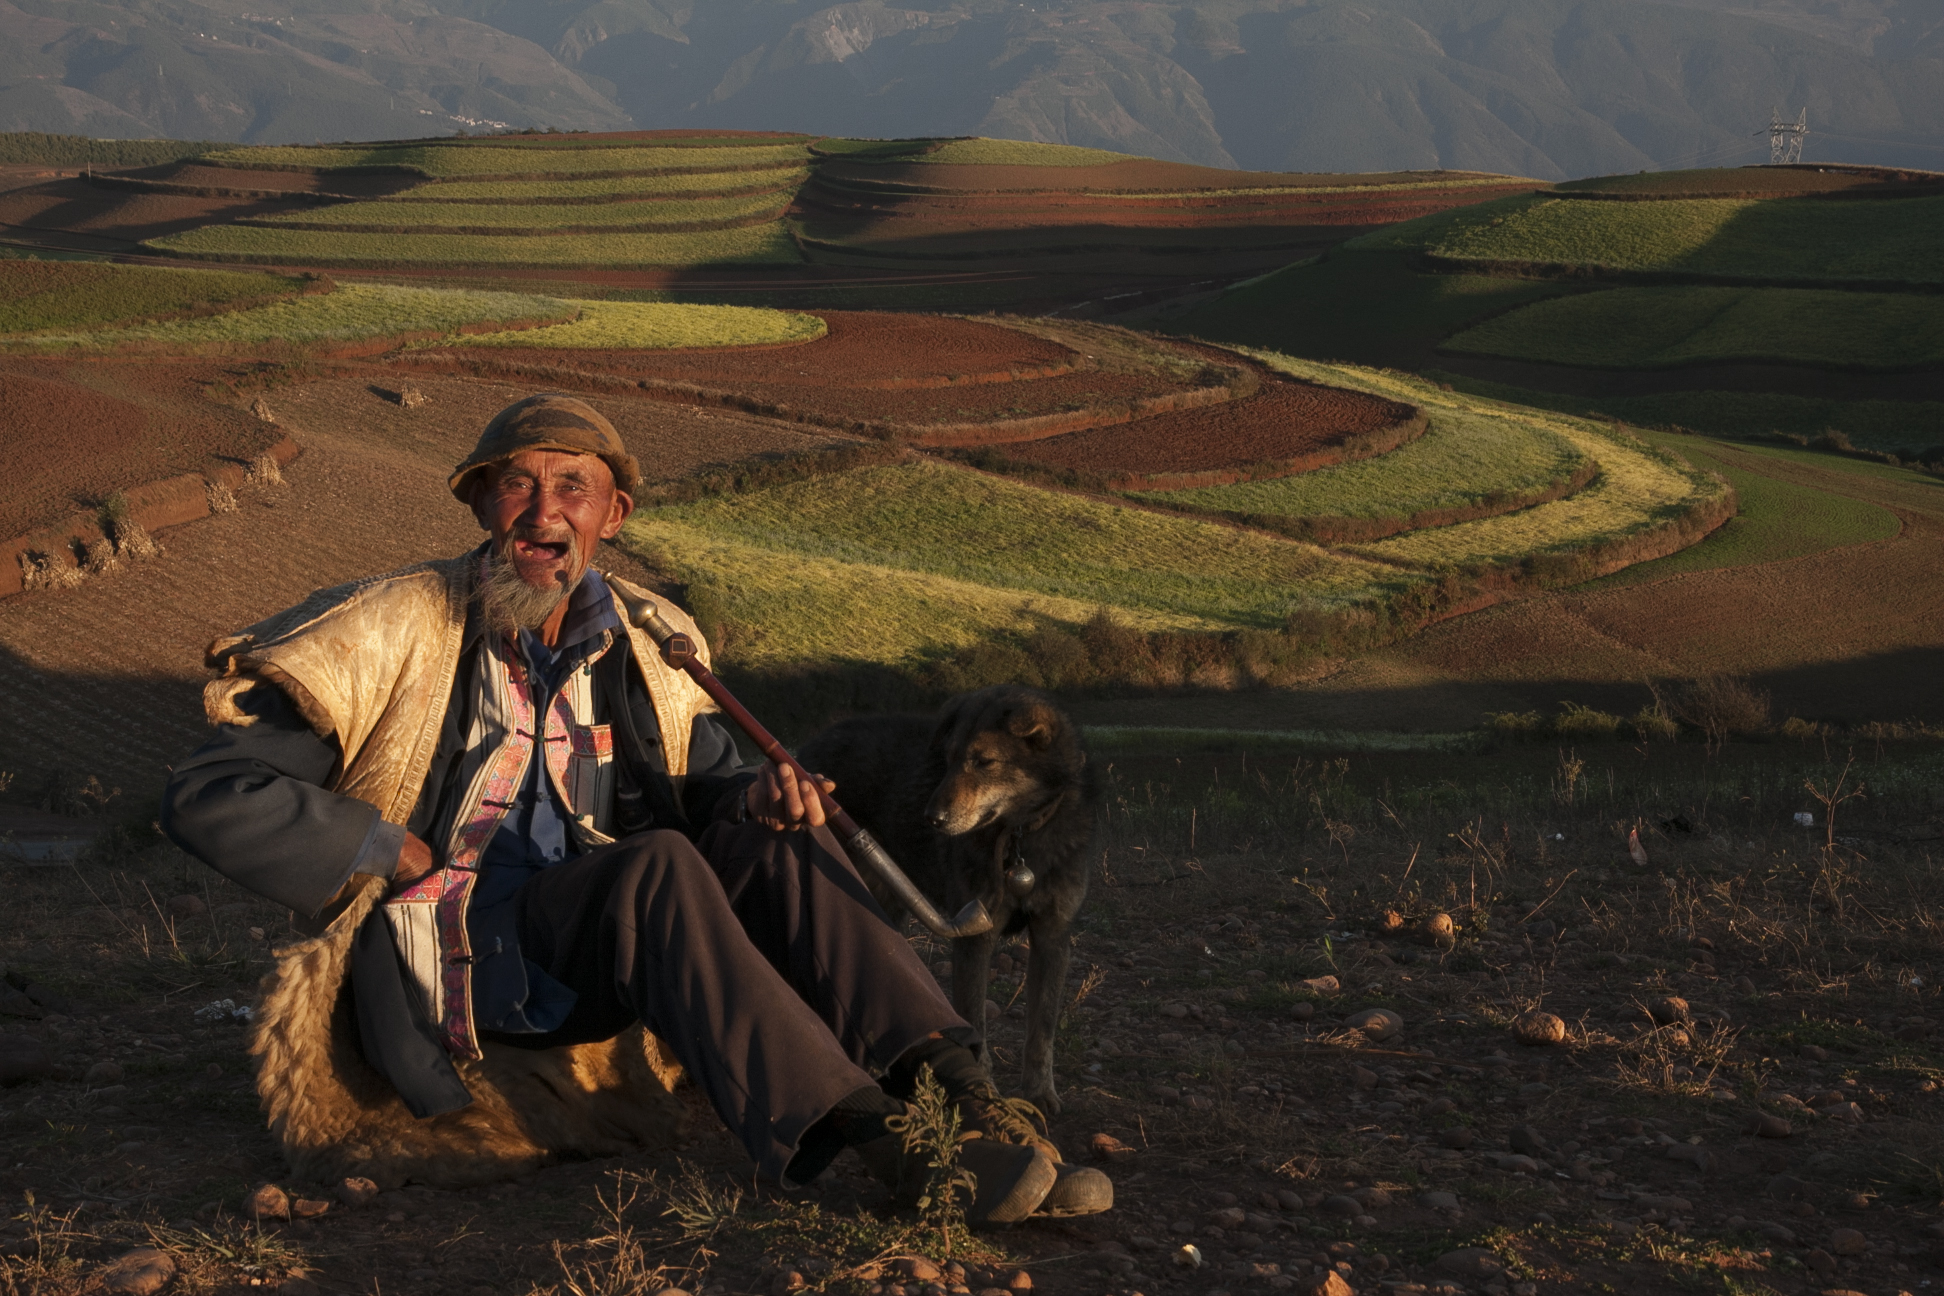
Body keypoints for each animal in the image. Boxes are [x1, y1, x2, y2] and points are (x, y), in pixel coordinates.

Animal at [789, 687, 1096, 1119]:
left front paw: (1038, 1092)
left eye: (984, 761)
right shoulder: (975, 940)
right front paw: (986, 1094)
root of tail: (809, 746)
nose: (931, 818)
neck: (1020, 837)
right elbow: (976, 1025)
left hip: (886, 905)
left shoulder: (1053, 937)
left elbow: (1042, 1029)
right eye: (948, 760)